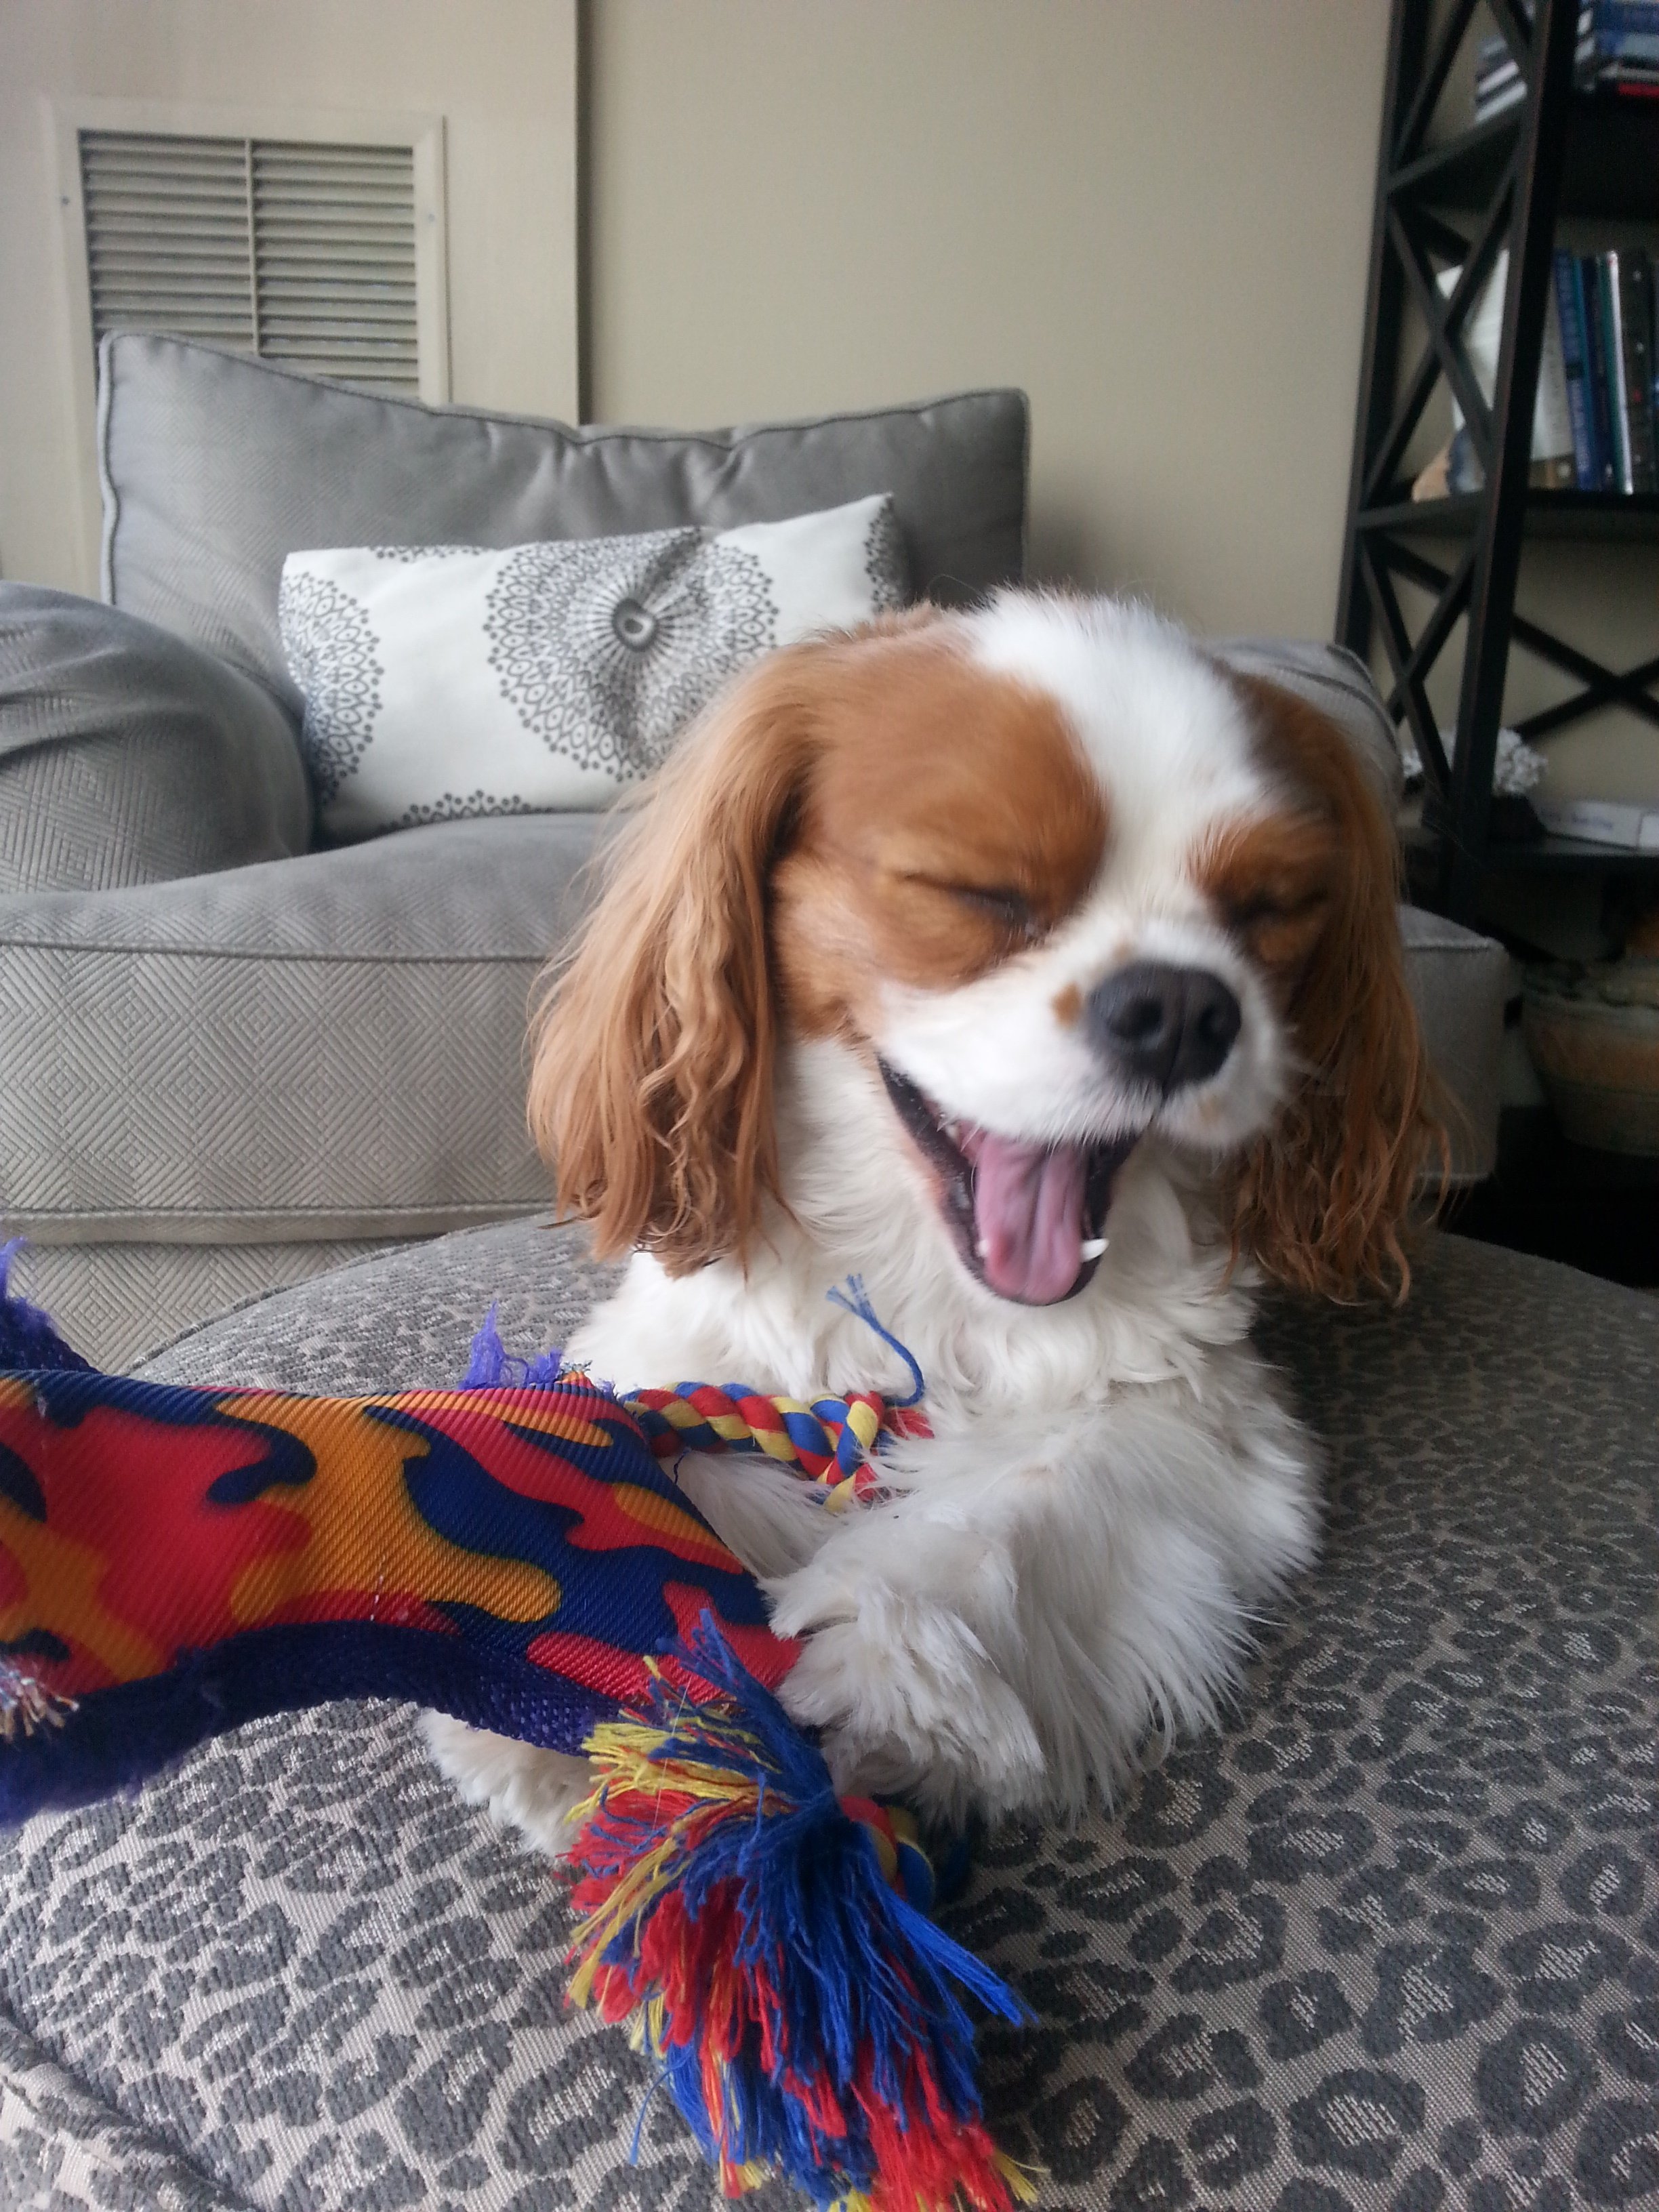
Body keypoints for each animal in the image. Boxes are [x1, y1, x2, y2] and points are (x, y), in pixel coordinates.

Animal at [425, 591, 1437, 1851]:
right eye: (978, 893)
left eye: (1267, 911)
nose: (1181, 1007)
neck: (921, 1276)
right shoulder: (670, 1350)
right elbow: (652, 1448)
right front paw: (579, 1675)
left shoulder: (1196, 1416)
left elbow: (1024, 1496)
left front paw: (887, 1659)